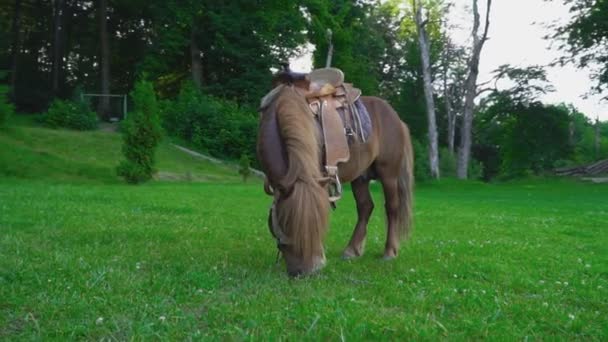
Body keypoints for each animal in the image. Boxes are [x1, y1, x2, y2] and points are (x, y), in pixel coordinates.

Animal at [256, 79, 414, 276]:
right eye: (285, 224)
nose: (305, 271)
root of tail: (397, 119)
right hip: (360, 177)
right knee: (365, 207)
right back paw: (352, 250)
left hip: (389, 175)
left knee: (392, 208)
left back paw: (389, 252)